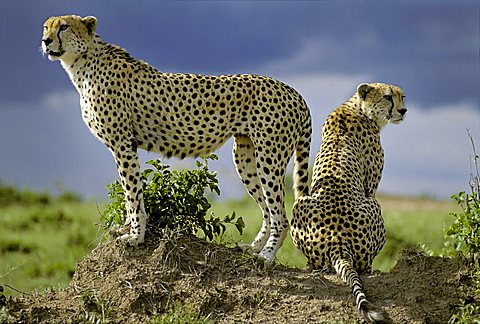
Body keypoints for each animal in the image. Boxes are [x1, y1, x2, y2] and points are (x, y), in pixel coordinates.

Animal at [41, 15, 312, 264]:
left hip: (270, 156)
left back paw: (266, 256)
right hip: (245, 155)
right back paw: (253, 248)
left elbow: (132, 192)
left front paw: (135, 236)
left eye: (63, 27)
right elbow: (131, 192)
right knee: (267, 209)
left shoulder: (123, 143)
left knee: (281, 216)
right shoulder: (125, 144)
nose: (45, 41)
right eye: (46, 27)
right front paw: (128, 229)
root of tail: (293, 91)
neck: (83, 64)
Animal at [290, 81, 406, 322]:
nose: (403, 110)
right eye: (388, 97)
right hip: (374, 207)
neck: (358, 108)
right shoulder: (370, 188)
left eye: (403, 97)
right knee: (364, 265)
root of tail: (338, 241)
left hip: (300, 204)